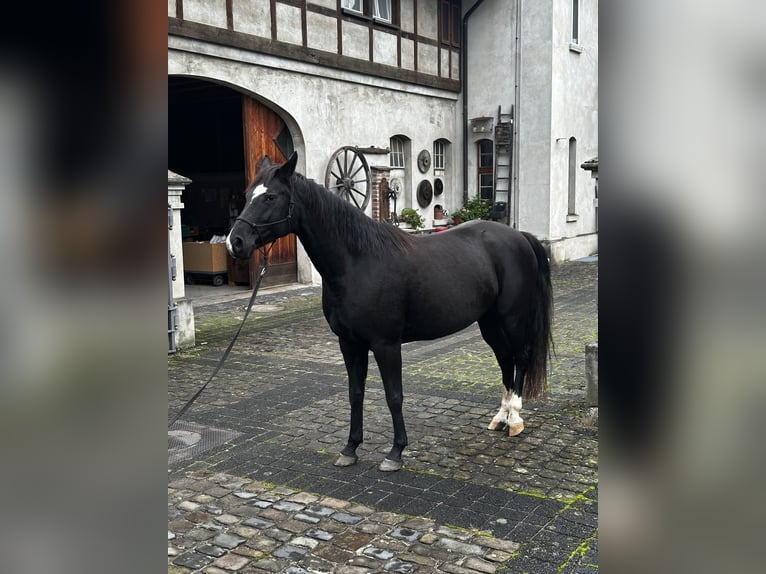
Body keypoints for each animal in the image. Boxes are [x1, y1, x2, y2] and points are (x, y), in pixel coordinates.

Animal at [225, 153, 556, 472]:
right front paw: (350, 448)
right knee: (505, 361)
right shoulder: (349, 344)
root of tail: (519, 237)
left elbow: (394, 396)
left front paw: (395, 453)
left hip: (511, 318)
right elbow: (355, 393)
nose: (234, 242)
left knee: (521, 358)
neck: (357, 261)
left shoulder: (386, 345)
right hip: (489, 322)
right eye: (247, 194)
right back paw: (500, 418)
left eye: (270, 197)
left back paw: (515, 420)